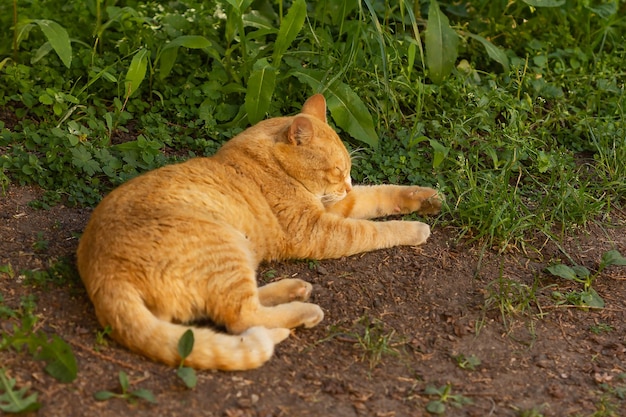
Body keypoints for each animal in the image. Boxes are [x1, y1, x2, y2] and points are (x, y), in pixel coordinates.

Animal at [77, 93, 438, 368]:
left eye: (348, 171)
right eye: (336, 171)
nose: (347, 185)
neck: (266, 163)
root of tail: (102, 273)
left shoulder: (334, 207)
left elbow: (380, 195)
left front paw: (425, 198)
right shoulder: (317, 229)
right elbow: (371, 230)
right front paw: (414, 228)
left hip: (236, 255)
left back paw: (294, 288)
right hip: (226, 250)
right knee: (241, 317)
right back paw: (304, 310)